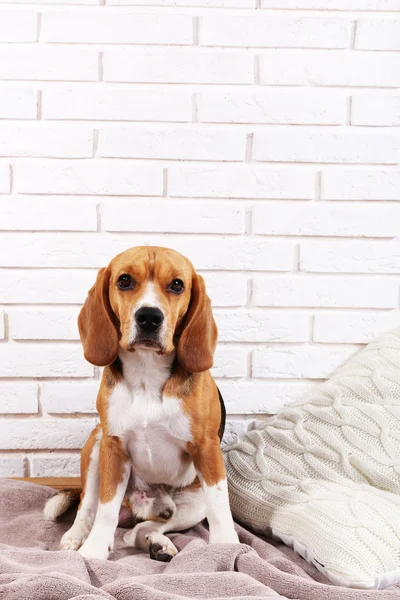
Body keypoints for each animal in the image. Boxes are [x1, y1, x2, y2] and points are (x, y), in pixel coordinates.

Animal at [44, 245, 238, 564]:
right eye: (124, 280)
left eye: (177, 285)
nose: (149, 317)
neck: (147, 371)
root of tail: (138, 506)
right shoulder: (113, 447)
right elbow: (105, 511)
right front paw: (94, 551)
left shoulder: (207, 449)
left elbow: (220, 510)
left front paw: (226, 548)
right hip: (95, 444)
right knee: (88, 505)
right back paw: (75, 537)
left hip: (189, 506)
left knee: (137, 531)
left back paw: (158, 544)